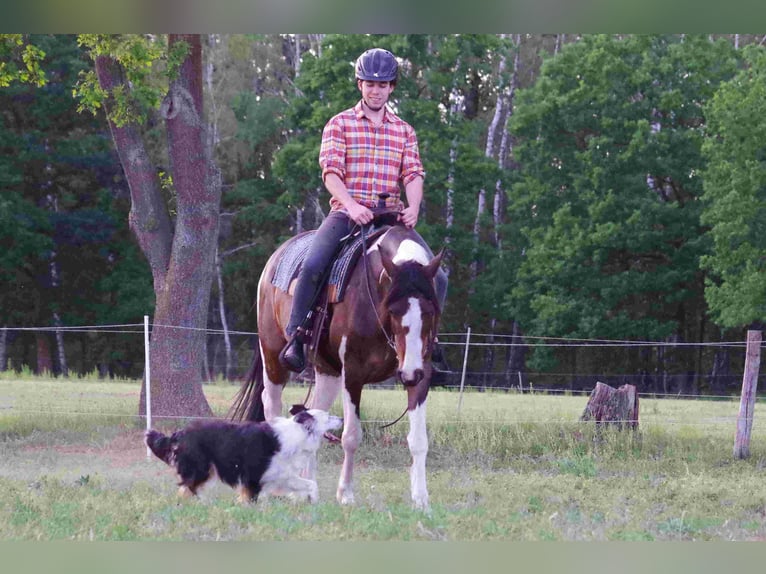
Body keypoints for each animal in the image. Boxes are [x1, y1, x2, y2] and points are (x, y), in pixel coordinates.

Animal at [146, 410, 344, 504]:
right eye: (328, 416)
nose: (343, 418)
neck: (297, 433)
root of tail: (180, 432)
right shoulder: (253, 476)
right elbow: (250, 498)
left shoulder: (282, 474)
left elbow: (311, 484)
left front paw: (314, 502)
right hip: (201, 467)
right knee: (191, 487)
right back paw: (206, 503)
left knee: (186, 488)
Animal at [228, 223, 444, 510]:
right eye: (393, 310)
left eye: (430, 311)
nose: (409, 373)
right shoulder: (353, 373)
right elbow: (351, 436)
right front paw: (346, 494)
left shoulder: (421, 372)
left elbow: (418, 440)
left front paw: (421, 500)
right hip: (273, 356)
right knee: (271, 404)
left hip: (327, 371)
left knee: (311, 415)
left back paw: (305, 487)